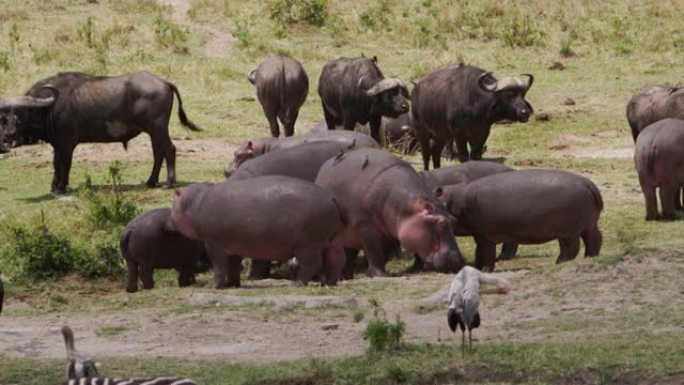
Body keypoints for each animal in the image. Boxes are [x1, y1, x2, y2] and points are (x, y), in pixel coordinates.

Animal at [0, 70, 199, 194]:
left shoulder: (67, 144)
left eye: (21, 112)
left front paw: (62, 187)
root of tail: (164, 82)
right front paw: (54, 186)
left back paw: (169, 183)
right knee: (159, 153)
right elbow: (56, 164)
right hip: (153, 131)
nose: (9, 134)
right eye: (3, 116)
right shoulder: (57, 145)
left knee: (169, 150)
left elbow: (65, 165)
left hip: (158, 128)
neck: (50, 107)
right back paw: (151, 181)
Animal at [166, 176, 348, 286]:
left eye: (173, 203)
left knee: (312, 263)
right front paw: (232, 285)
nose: (167, 221)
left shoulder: (213, 245)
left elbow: (219, 266)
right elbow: (233, 266)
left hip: (308, 244)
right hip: (334, 240)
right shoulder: (232, 247)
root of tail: (331, 196)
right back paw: (329, 283)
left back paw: (297, 284)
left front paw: (213, 286)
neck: (193, 203)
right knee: (336, 260)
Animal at [316, 147, 464, 276]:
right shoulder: (366, 227)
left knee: (350, 254)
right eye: (441, 223)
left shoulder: (391, 231)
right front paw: (379, 275)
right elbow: (374, 251)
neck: (406, 206)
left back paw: (347, 275)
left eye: (453, 220)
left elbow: (384, 253)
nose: (458, 261)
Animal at [438, 170, 604, 272]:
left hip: (568, 231)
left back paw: (559, 262)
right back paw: (590, 257)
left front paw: (484, 270)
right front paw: (477, 268)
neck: (454, 203)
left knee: (571, 247)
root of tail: (589, 184)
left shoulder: (484, 234)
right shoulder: (478, 234)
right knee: (594, 238)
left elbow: (486, 253)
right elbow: (479, 252)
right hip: (588, 224)